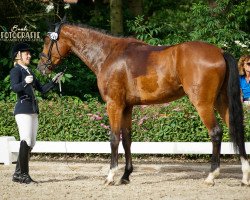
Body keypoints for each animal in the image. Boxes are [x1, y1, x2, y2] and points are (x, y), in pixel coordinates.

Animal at [37, 22, 250, 186]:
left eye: (47, 41)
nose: (40, 67)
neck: (108, 54)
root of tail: (220, 52)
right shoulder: (127, 107)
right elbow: (127, 139)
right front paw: (125, 176)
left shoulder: (114, 104)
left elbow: (114, 138)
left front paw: (111, 176)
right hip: (222, 102)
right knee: (236, 130)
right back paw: (245, 176)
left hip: (203, 103)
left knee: (216, 133)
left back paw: (211, 176)